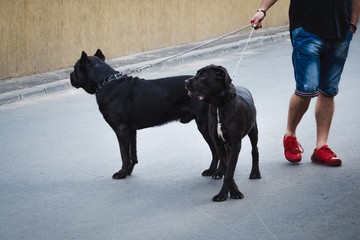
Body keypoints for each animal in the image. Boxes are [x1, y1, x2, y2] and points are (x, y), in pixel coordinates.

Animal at [69, 49, 218, 180]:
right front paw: (128, 172)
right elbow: (132, 155)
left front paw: (121, 173)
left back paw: (212, 171)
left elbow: (124, 154)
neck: (105, 81)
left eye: (75, 68)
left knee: (215, 150)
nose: (70, 75)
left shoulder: (120, 130)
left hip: (204, 125)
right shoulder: (131, 130)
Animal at [184, 64, 260, 202]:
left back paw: (255, 173)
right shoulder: (218, 142)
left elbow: (229, 171)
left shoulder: (235, 144)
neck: (219, 105)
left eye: (203, 76)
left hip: (253, 130)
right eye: (197, 73)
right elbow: (227, 166)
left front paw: (232, 193)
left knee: (255, 150)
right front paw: (229, 191)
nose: (185, 82)